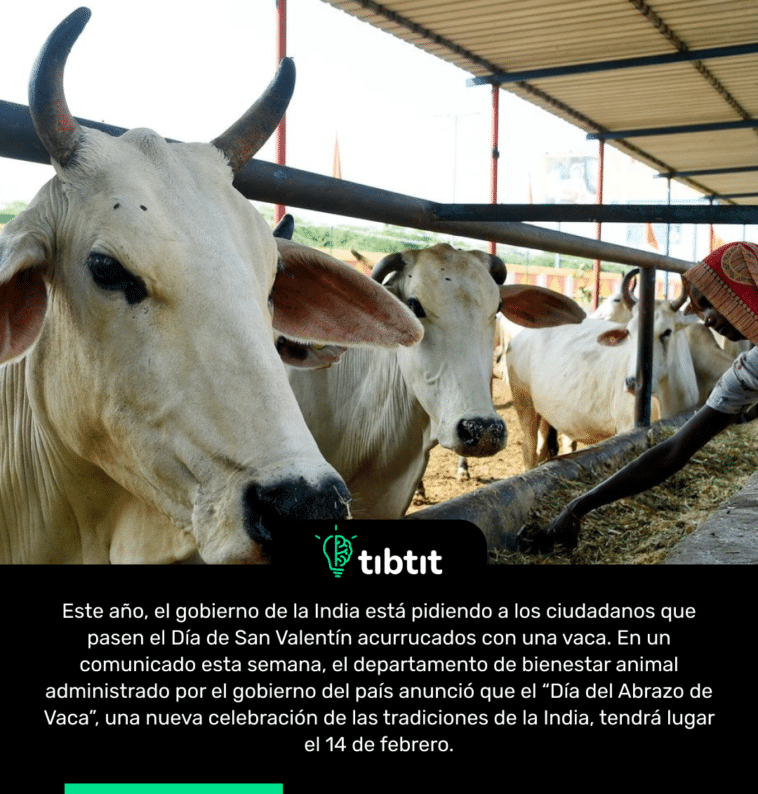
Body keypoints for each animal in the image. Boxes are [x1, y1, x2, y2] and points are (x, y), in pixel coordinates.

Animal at [507, 296, 700, 469]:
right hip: (524, 403)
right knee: (529, 450)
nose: (632, 382)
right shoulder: (626, 426)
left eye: (667, 331)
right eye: (629, 332)